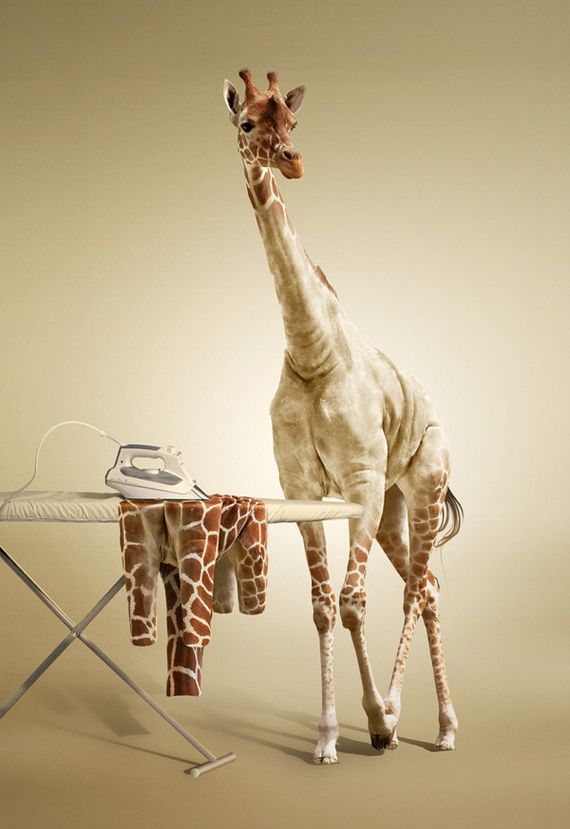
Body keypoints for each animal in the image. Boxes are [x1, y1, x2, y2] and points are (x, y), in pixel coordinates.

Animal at [223, 68, 462, 764]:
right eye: (246, 122)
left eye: (294, 121)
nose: (291, 160)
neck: (313, 352)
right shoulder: (301, 488)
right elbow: (324, 607)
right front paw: (329, 737)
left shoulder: (360, 481)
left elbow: (354, 603)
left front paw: (379, 720)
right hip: (396, 504)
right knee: (427, 585)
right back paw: (441, 726)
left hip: (423, 484)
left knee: (417, 587)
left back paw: (424, 722)